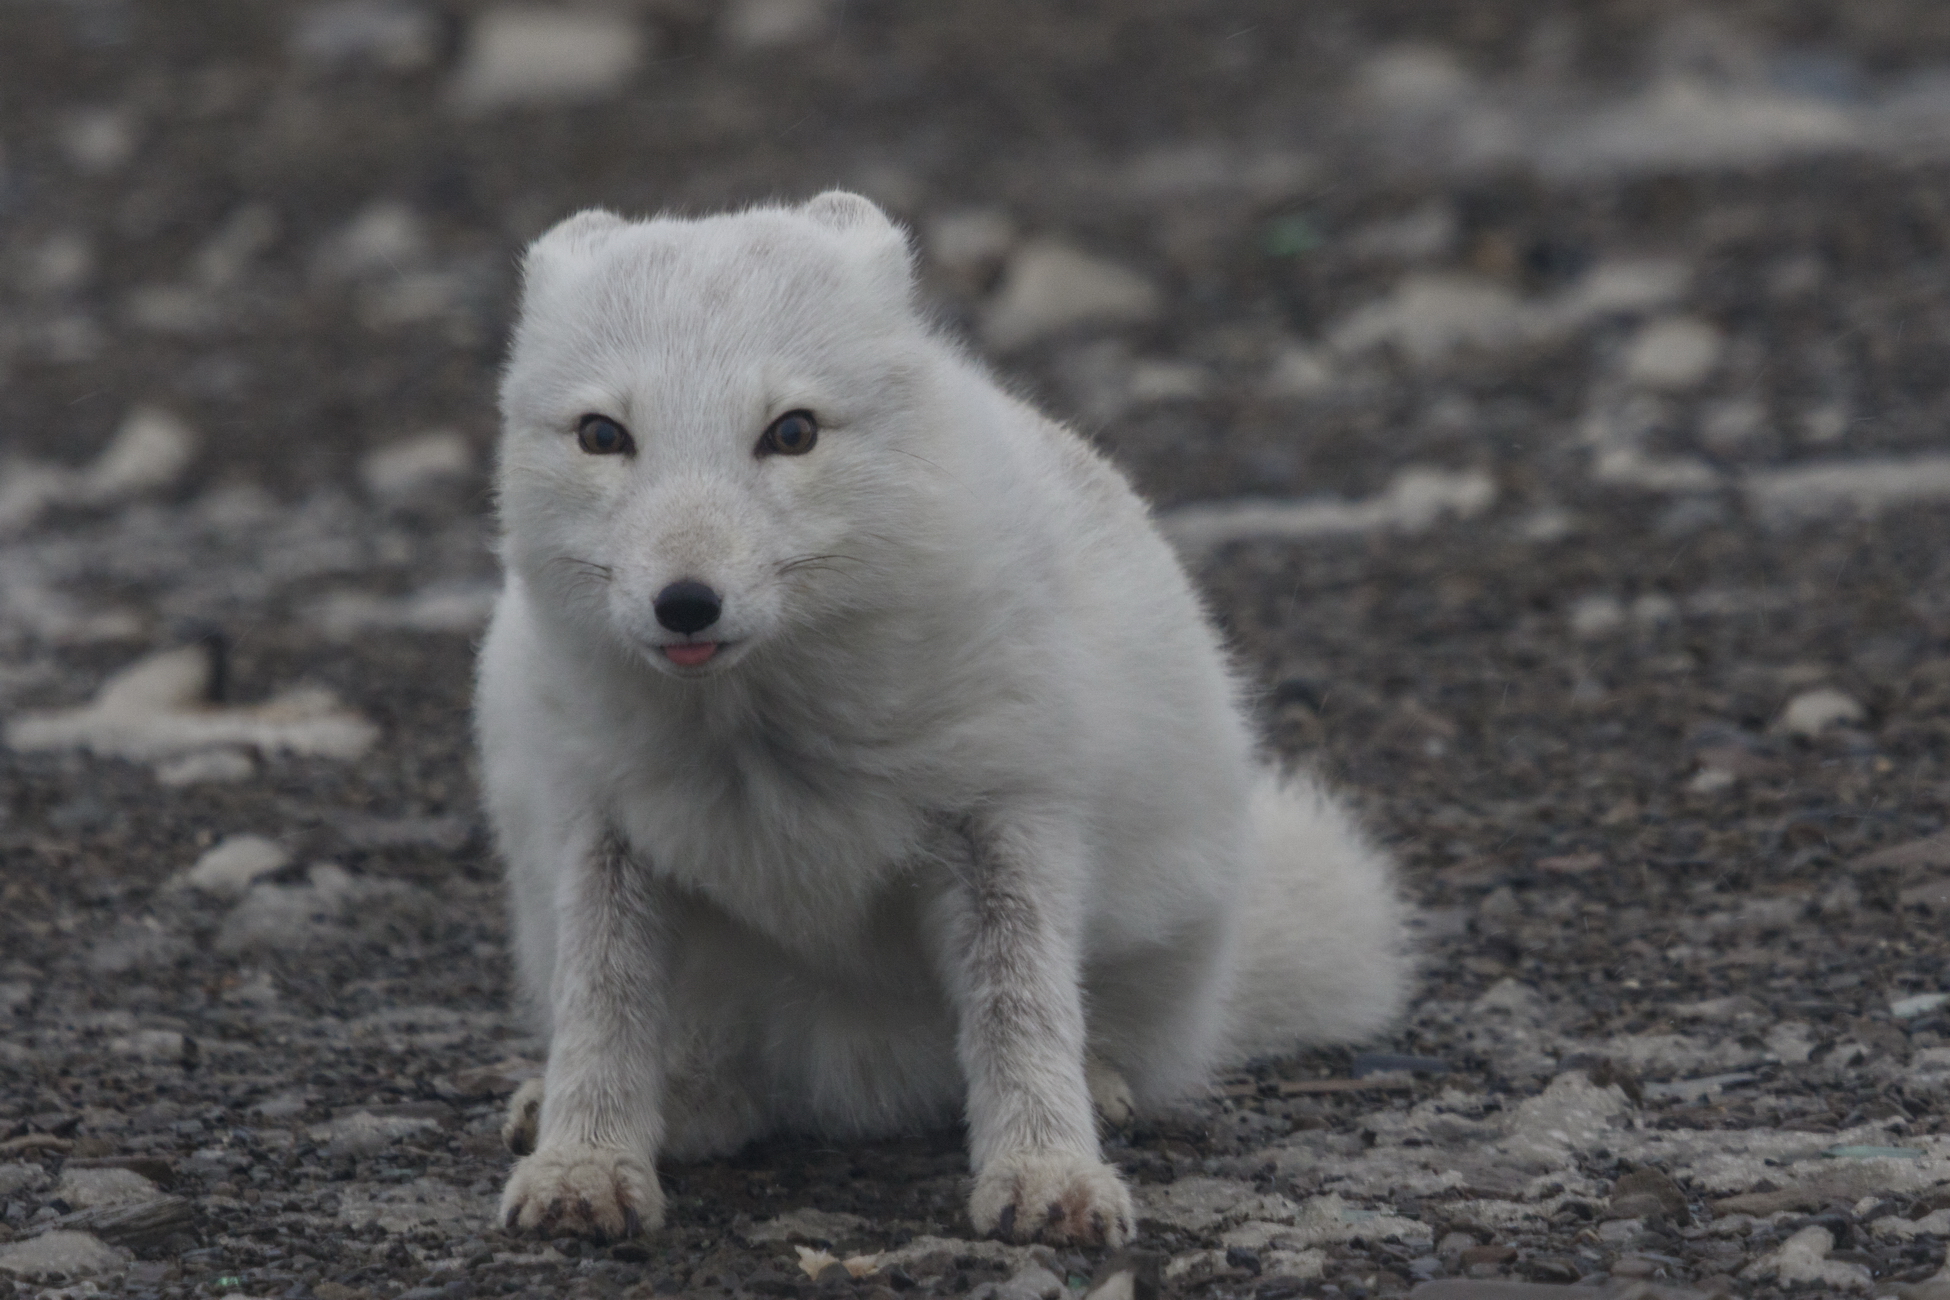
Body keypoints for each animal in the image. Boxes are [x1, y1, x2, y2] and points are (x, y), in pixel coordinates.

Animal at [479, 191, 1411, 1239]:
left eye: (791, 432)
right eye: (603, 435)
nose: (686, 603)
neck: (758, 747)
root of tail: (854, 1082)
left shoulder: (1010, 812)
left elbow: (1022, 1008)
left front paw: (1049, 1172)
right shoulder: (599, 829)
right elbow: (601, 1013)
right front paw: (583, 1164)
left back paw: (1103, 1084)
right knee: (713, 1075)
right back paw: (644, 1104)